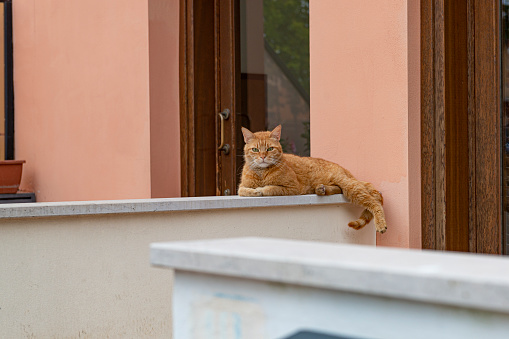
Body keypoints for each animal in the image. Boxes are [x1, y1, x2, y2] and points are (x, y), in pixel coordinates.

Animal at [237, 125, 384, 234]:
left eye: (270, 148)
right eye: (255, 149)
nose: (262, 157)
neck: (262, 173)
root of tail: (345, 170)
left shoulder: (292, 188)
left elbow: (271, 188)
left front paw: (261, 190)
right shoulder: (240, 187)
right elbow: (244, 191)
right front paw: (254, 191)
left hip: (350, 186)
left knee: (374, 202)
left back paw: (381, 224)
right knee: (339, 189)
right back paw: (322, 189)